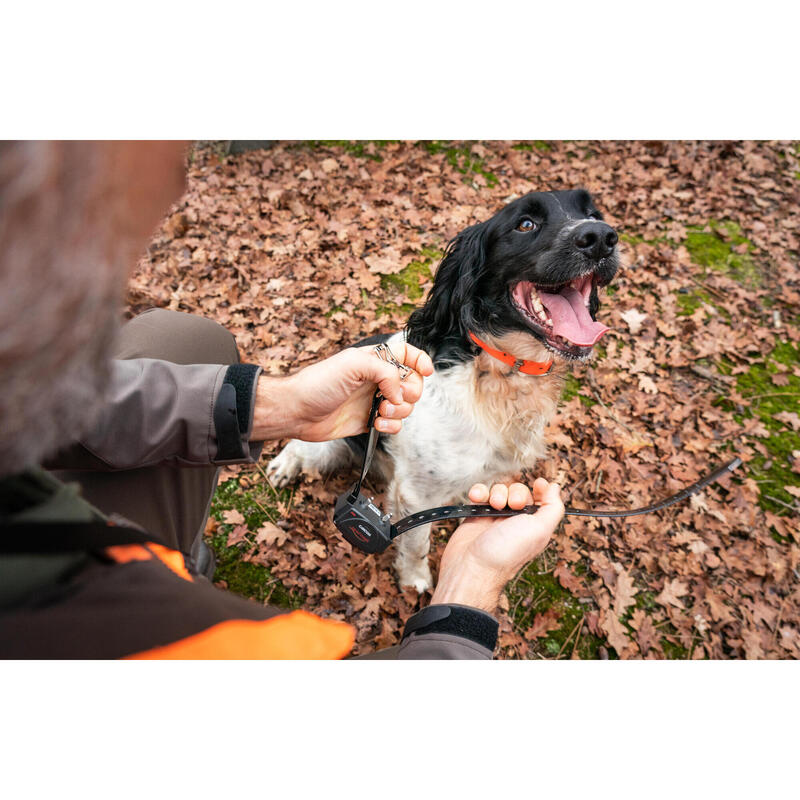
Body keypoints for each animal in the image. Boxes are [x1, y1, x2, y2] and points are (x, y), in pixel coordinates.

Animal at [268, 186, 620, 588]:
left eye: (593, 213)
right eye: (526, 224)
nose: (601, 237)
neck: (498, 372)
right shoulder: (417, 493)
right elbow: (416, 541)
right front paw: (415, 580)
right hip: (328, 441)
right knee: (299, 444)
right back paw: (283, 466)